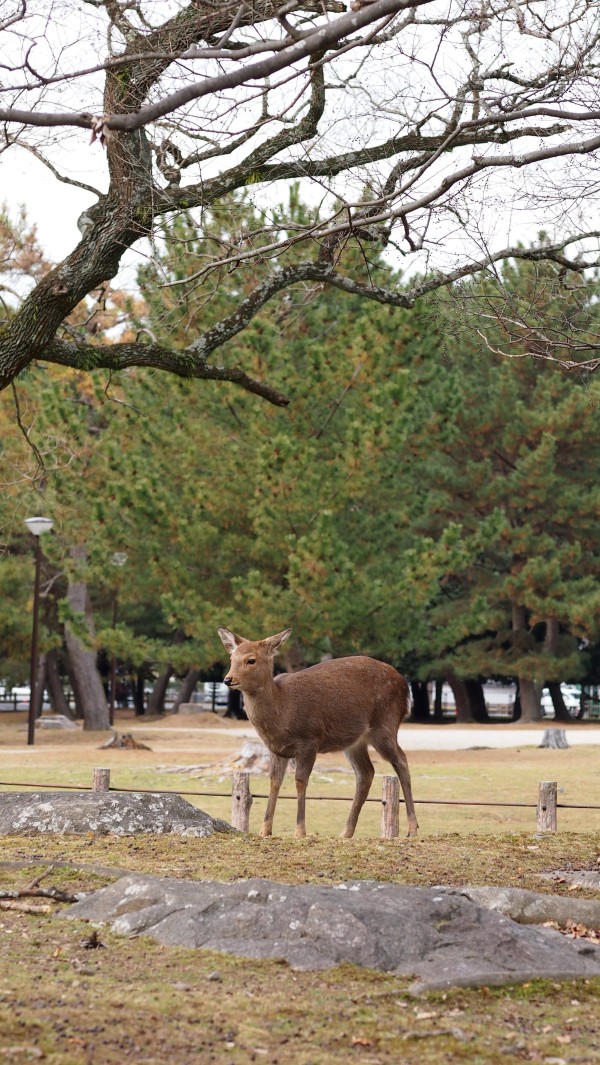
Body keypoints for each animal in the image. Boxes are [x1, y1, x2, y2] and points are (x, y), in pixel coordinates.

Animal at [218, 621, 419, 839]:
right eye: (231, 658)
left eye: (251, 660)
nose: (228, 679)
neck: (283, 711)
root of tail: (405, 687)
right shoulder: (275, 748)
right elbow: (274, 781)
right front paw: (265, 830)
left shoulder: (310, 738)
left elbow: (300, 780)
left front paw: (299, 831)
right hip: (355, 742)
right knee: (366, 773)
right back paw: (346, 832)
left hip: (385, 725)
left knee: (402, 761)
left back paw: (412, 828)